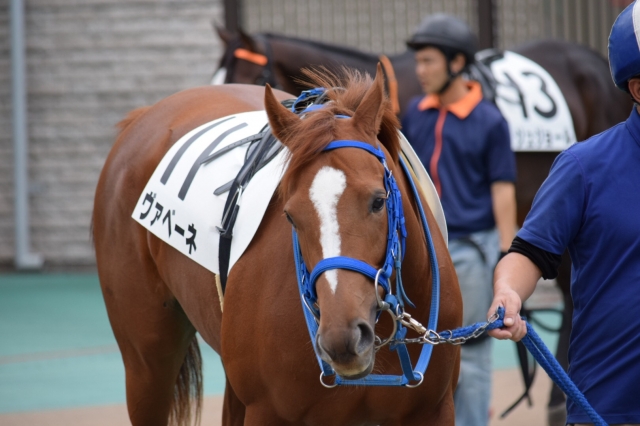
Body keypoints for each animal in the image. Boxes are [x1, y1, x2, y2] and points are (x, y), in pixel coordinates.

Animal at [93, 65, 463, 425]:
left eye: (377, 201)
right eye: (290, 215)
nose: (342, 337)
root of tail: (143, 116)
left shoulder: (433, 409)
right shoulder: (267, 410)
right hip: (146, 360)